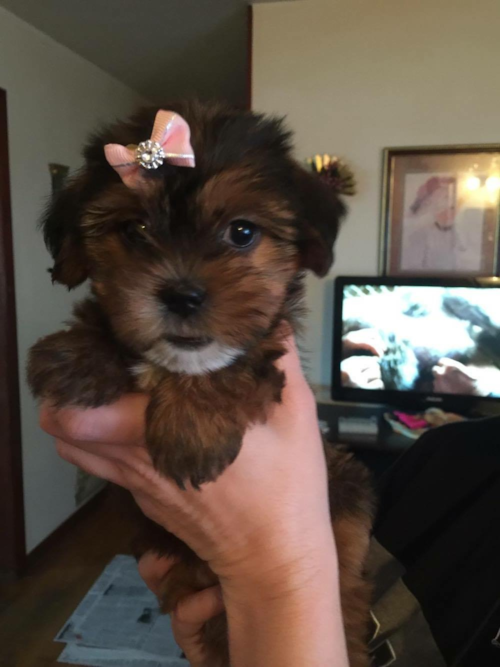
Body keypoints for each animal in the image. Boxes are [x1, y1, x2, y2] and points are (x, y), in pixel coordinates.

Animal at [26, 102, 372, 664]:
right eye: (136, 229)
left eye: (242, 233)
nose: (182, 295)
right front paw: (75, 356)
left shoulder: (265, 347)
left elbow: (236, 361)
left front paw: (192, 427)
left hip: (343, 484)